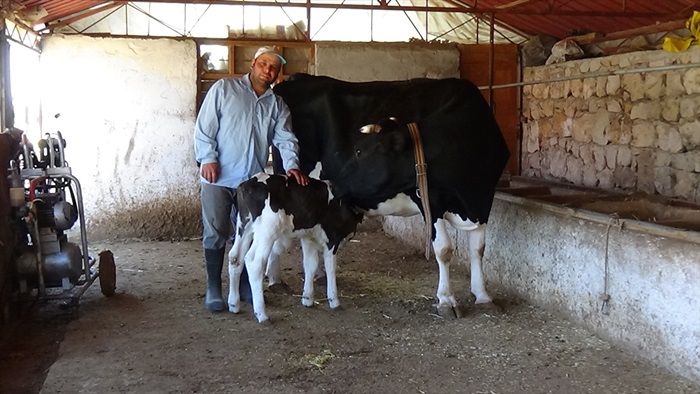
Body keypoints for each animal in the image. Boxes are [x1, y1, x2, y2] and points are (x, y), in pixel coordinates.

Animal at [228, 172, 364, 324]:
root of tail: (246, 185)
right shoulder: (332, 238)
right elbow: (330, 268)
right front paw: (334, 300)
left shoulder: (308, 237)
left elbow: (310, 264)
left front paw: (307, 299)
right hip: (267, 231)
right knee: (254, 262)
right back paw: (262, 314)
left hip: (244, 226)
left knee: (235, 257)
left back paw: (233, 305)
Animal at [274, 74, 508, 318]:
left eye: (359, 151)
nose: (333, 182)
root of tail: (297, 78)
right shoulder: (431, 199)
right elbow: (443, 249)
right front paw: (446, 300)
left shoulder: (484, 198)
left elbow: (478, 249)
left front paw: (483, 295)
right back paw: (276, 281)